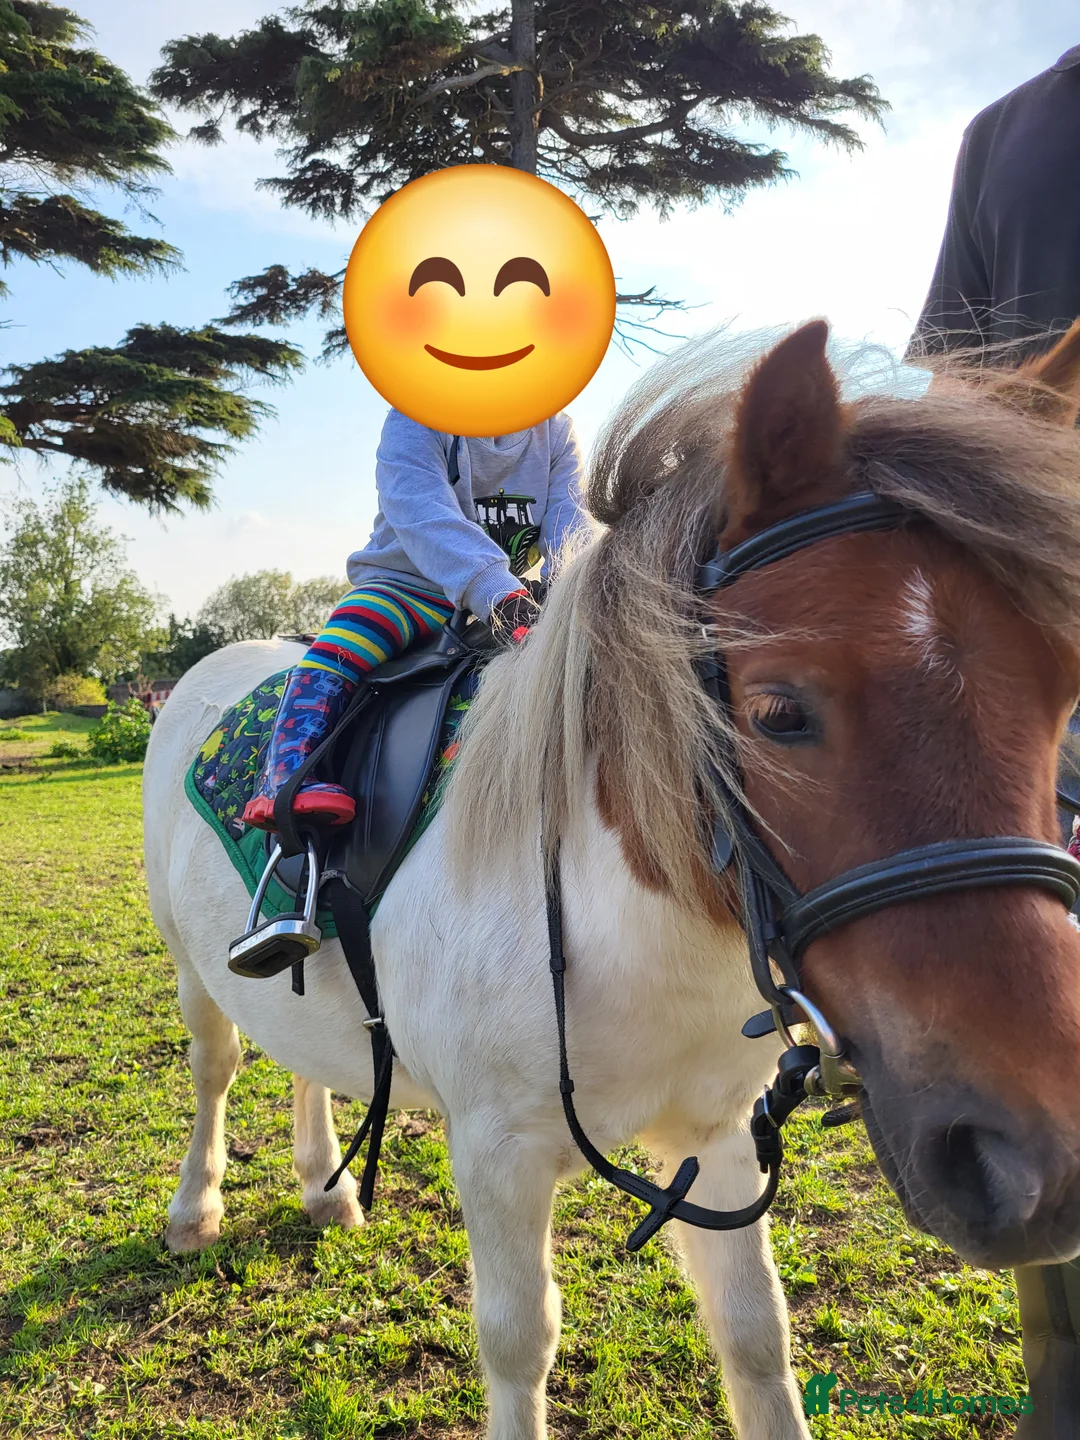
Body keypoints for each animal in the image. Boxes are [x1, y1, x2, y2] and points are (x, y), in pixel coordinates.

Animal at [143, 319, 1080, 1440]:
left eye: (1063, 696)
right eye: (778, 713)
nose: (1038, 1166)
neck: (635, 928)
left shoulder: (719, 1137)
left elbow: (756, 1337)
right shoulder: (496, 1154)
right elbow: (519, 1342)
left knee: (306, 1058)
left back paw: (326, 1188)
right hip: (192, 968)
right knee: (216, 1066)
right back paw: (194, 1207)